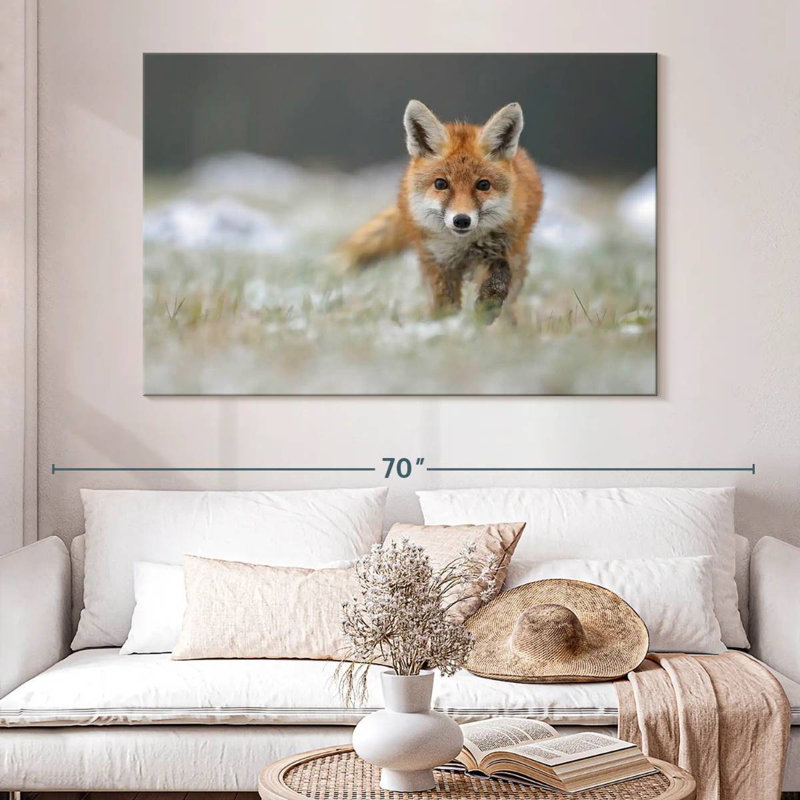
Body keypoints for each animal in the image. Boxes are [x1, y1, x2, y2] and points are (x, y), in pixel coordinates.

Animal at [338, 100, 543, 324]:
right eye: (440, 184)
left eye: (483, 185)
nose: (461, 220)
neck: (463, 247)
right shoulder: (439, 262)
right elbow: (445, 305)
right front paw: (447, 326)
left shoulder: (503, 249)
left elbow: (500, 276)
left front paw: (486, 309)